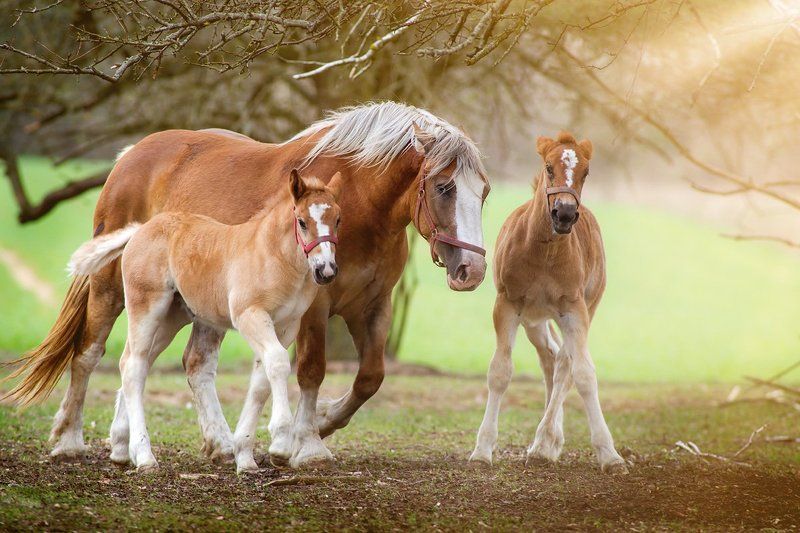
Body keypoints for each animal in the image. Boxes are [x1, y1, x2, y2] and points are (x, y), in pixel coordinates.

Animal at [65, 170, 342, 472]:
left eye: (338, 219)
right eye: (302, 221)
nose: (326, 270)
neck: (272, 255)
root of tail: (141, 229)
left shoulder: (286, 325)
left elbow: (261, 380)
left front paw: (244, 456)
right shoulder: (250, 315)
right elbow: (278, 363)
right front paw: (280, 444)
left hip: (172, 317)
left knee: (137, 362)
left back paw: (120, 449)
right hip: (146, 306)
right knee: (133, 366)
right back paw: (145, 456)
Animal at [469, 132, 627, 474]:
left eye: (586, 173)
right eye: (549, 168)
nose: (565, 214)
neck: (545, 252)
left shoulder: (575, 310)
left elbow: (584, 374)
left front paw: (609, 454)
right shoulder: (507, 304)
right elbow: (500, 372)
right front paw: (482, 451)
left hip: (585, 307)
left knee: (564, 366)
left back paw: (545, 442)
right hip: (534, 319)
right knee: (551, 359)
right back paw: (546, 442)